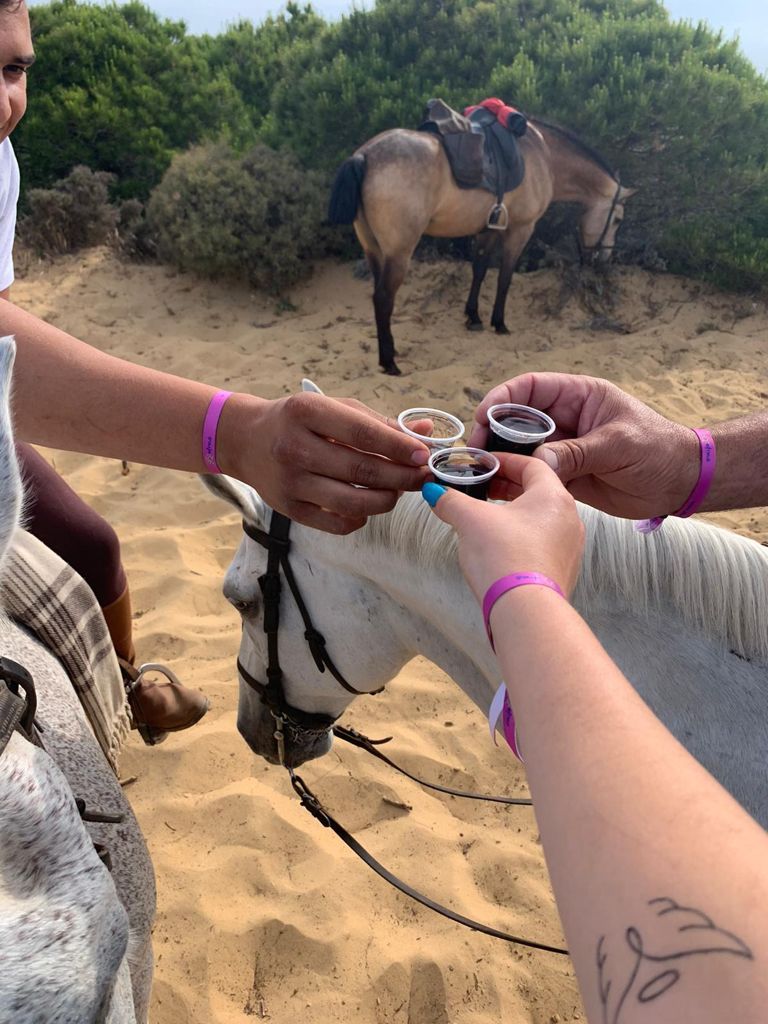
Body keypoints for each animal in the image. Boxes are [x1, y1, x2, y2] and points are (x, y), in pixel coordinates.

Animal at [328, 116, 636, 375]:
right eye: (618, 219)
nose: (603, 259)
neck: (544, 155)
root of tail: (364, 156)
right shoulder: (520, 230)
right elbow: (504, 277)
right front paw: (499, 323)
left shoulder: (488, 228)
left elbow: (479, 270)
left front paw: (473, 316)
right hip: (399, 253)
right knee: (383, 299)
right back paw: (389, 361)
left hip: (373, 249)